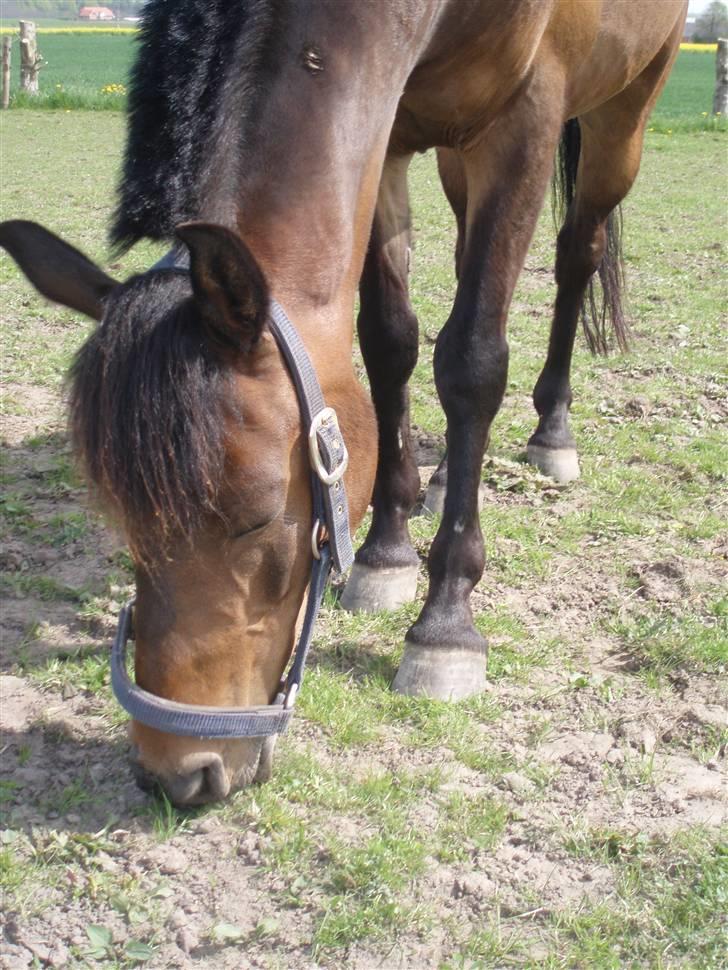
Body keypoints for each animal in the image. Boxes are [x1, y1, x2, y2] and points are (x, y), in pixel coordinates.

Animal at [0, 0, 688, 800]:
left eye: (256, 518)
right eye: (120, 517)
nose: (178, 774)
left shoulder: (527, 117)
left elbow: (472, 363)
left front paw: (446, 621)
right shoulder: (386, 136)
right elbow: (388, 343)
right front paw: (388, 549)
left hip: (623, 114)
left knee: (579, 251)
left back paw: (553, 430)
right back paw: (447, 478)